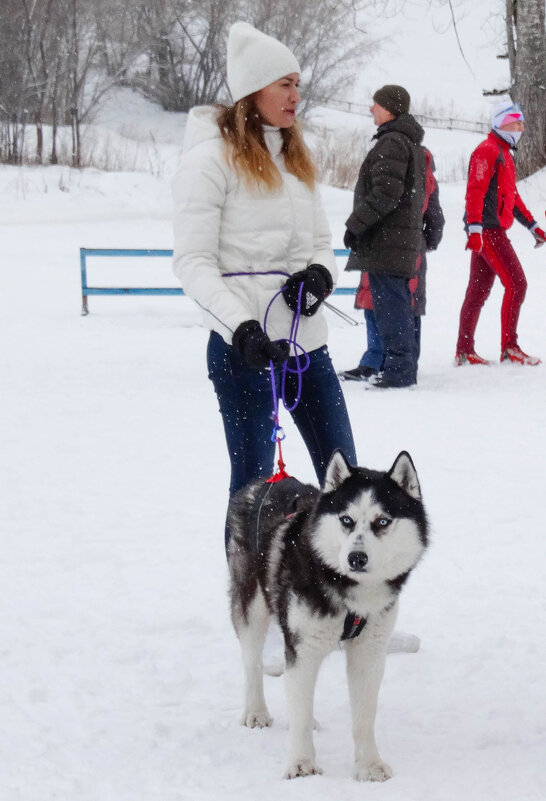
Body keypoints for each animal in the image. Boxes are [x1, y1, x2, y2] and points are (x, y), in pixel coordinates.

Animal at [225, 450, 424, 780]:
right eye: (346, 520)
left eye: (382, 521)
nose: (357, 558)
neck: (348, 590)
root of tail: (263, 481)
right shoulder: (303, 646)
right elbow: (300, 710)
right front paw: (302, 763)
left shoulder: (369, 651)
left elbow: (364, 716)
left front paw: (369, 765)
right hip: (252, 603)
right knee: (252, 661)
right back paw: (256, 712)